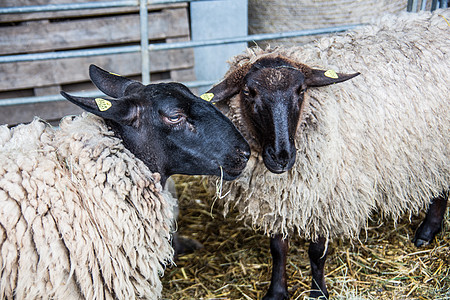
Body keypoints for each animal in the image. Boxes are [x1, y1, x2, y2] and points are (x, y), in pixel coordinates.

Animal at [205, 9, 450, 300]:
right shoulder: (278, 198)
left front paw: (318, 292)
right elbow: (278, 249)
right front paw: (277, 291)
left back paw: (427, 230)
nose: (281, 157)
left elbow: (316, 254)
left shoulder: (327, 196)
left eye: (301, 91)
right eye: (247, 92)